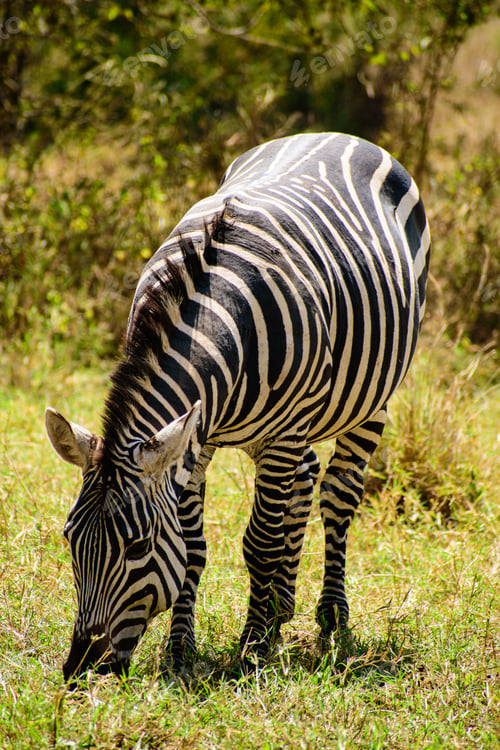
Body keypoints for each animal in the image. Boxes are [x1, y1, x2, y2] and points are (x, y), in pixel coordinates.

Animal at [45, 132, 430, 680]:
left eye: (137, 546)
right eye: (69, 539)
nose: (80, 668)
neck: (215, 316)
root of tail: (335, 135)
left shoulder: (280, 433)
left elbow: (260, 542)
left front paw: (253, 647)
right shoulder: (196, 437)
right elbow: (192, 549)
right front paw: (181, 649)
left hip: (368, 397)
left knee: (338, 493)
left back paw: (330, 617)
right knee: (306, 479)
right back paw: (282, 607)